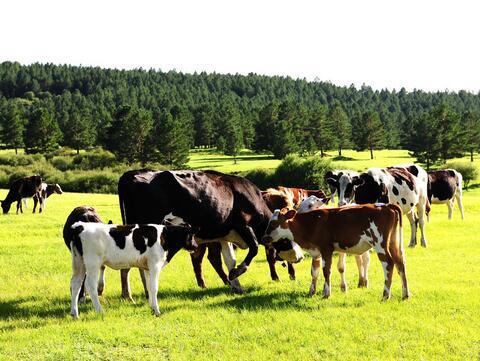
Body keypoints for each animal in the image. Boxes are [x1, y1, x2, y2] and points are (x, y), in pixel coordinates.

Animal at [69, 219, 199, 318]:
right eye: (192, 236)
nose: (196, 246)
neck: (164, 237)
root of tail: (80, 226)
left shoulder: (147, 267)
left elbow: (148, 286)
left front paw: (152, 307)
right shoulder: (155, 264)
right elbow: (154, 288)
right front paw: (157, 311)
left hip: (78, 262)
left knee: (75, 284)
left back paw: (74, 313)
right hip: (93, 263)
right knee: (90, 285)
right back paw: (100, 311)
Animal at [118, 169, 272, 298]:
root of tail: (132, 173)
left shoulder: (224, 235)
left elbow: (230, 260)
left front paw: (236, 285)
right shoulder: (244, 225)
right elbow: (254, 248)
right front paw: (236, 272)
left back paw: (136, 294)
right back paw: (138, 294)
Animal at [262, 204, 408, 300]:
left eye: (273, 223)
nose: (264, 238)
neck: (311, 223)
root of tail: (387, 205)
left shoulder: (326, 248)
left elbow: (326, 271)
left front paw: (327, 293)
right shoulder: (316, 252)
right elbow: (314, 272)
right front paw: (312, 291)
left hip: (380, 244)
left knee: (388, 264)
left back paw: (386, 294)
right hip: (393, 243)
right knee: (400, 263)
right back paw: (405, 294)